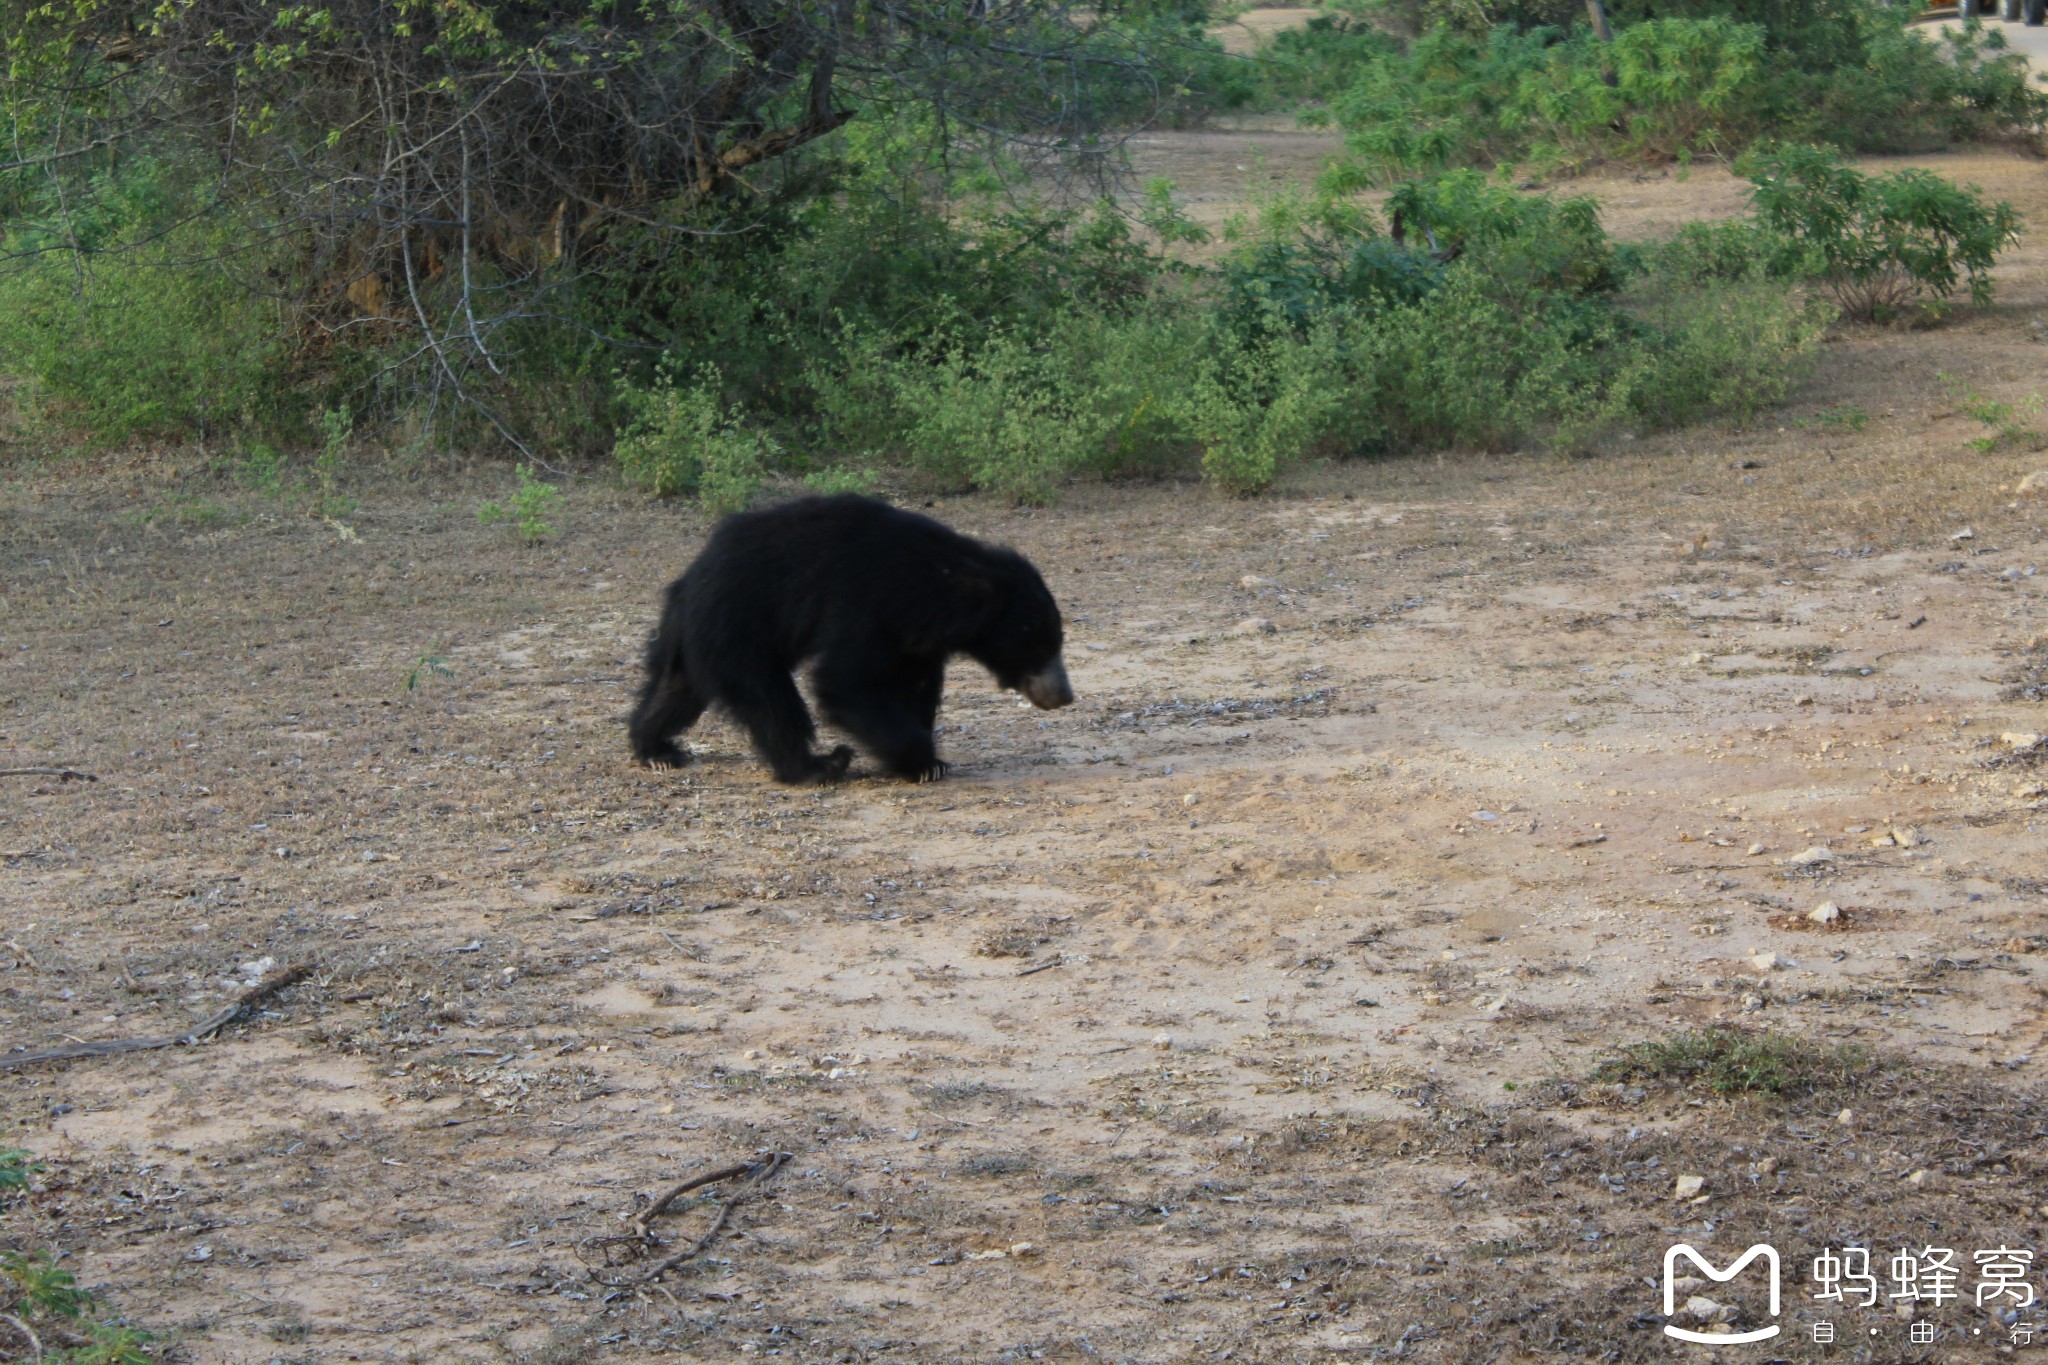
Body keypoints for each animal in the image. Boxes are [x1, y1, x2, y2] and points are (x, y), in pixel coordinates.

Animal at [622, 497, 1073, 785]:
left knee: (675, 689)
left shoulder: (917, 636)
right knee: (770, 701)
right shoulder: (866, 603)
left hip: (698, 638)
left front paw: (924, 760)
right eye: (1040, 643)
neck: (942, 584)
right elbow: (846, 684)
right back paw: (816, 766)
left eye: (1056, 641)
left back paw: (656, 748)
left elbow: (915, 684)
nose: (1065, 694)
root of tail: (686, 582)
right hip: (740, 630)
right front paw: (923, 760)